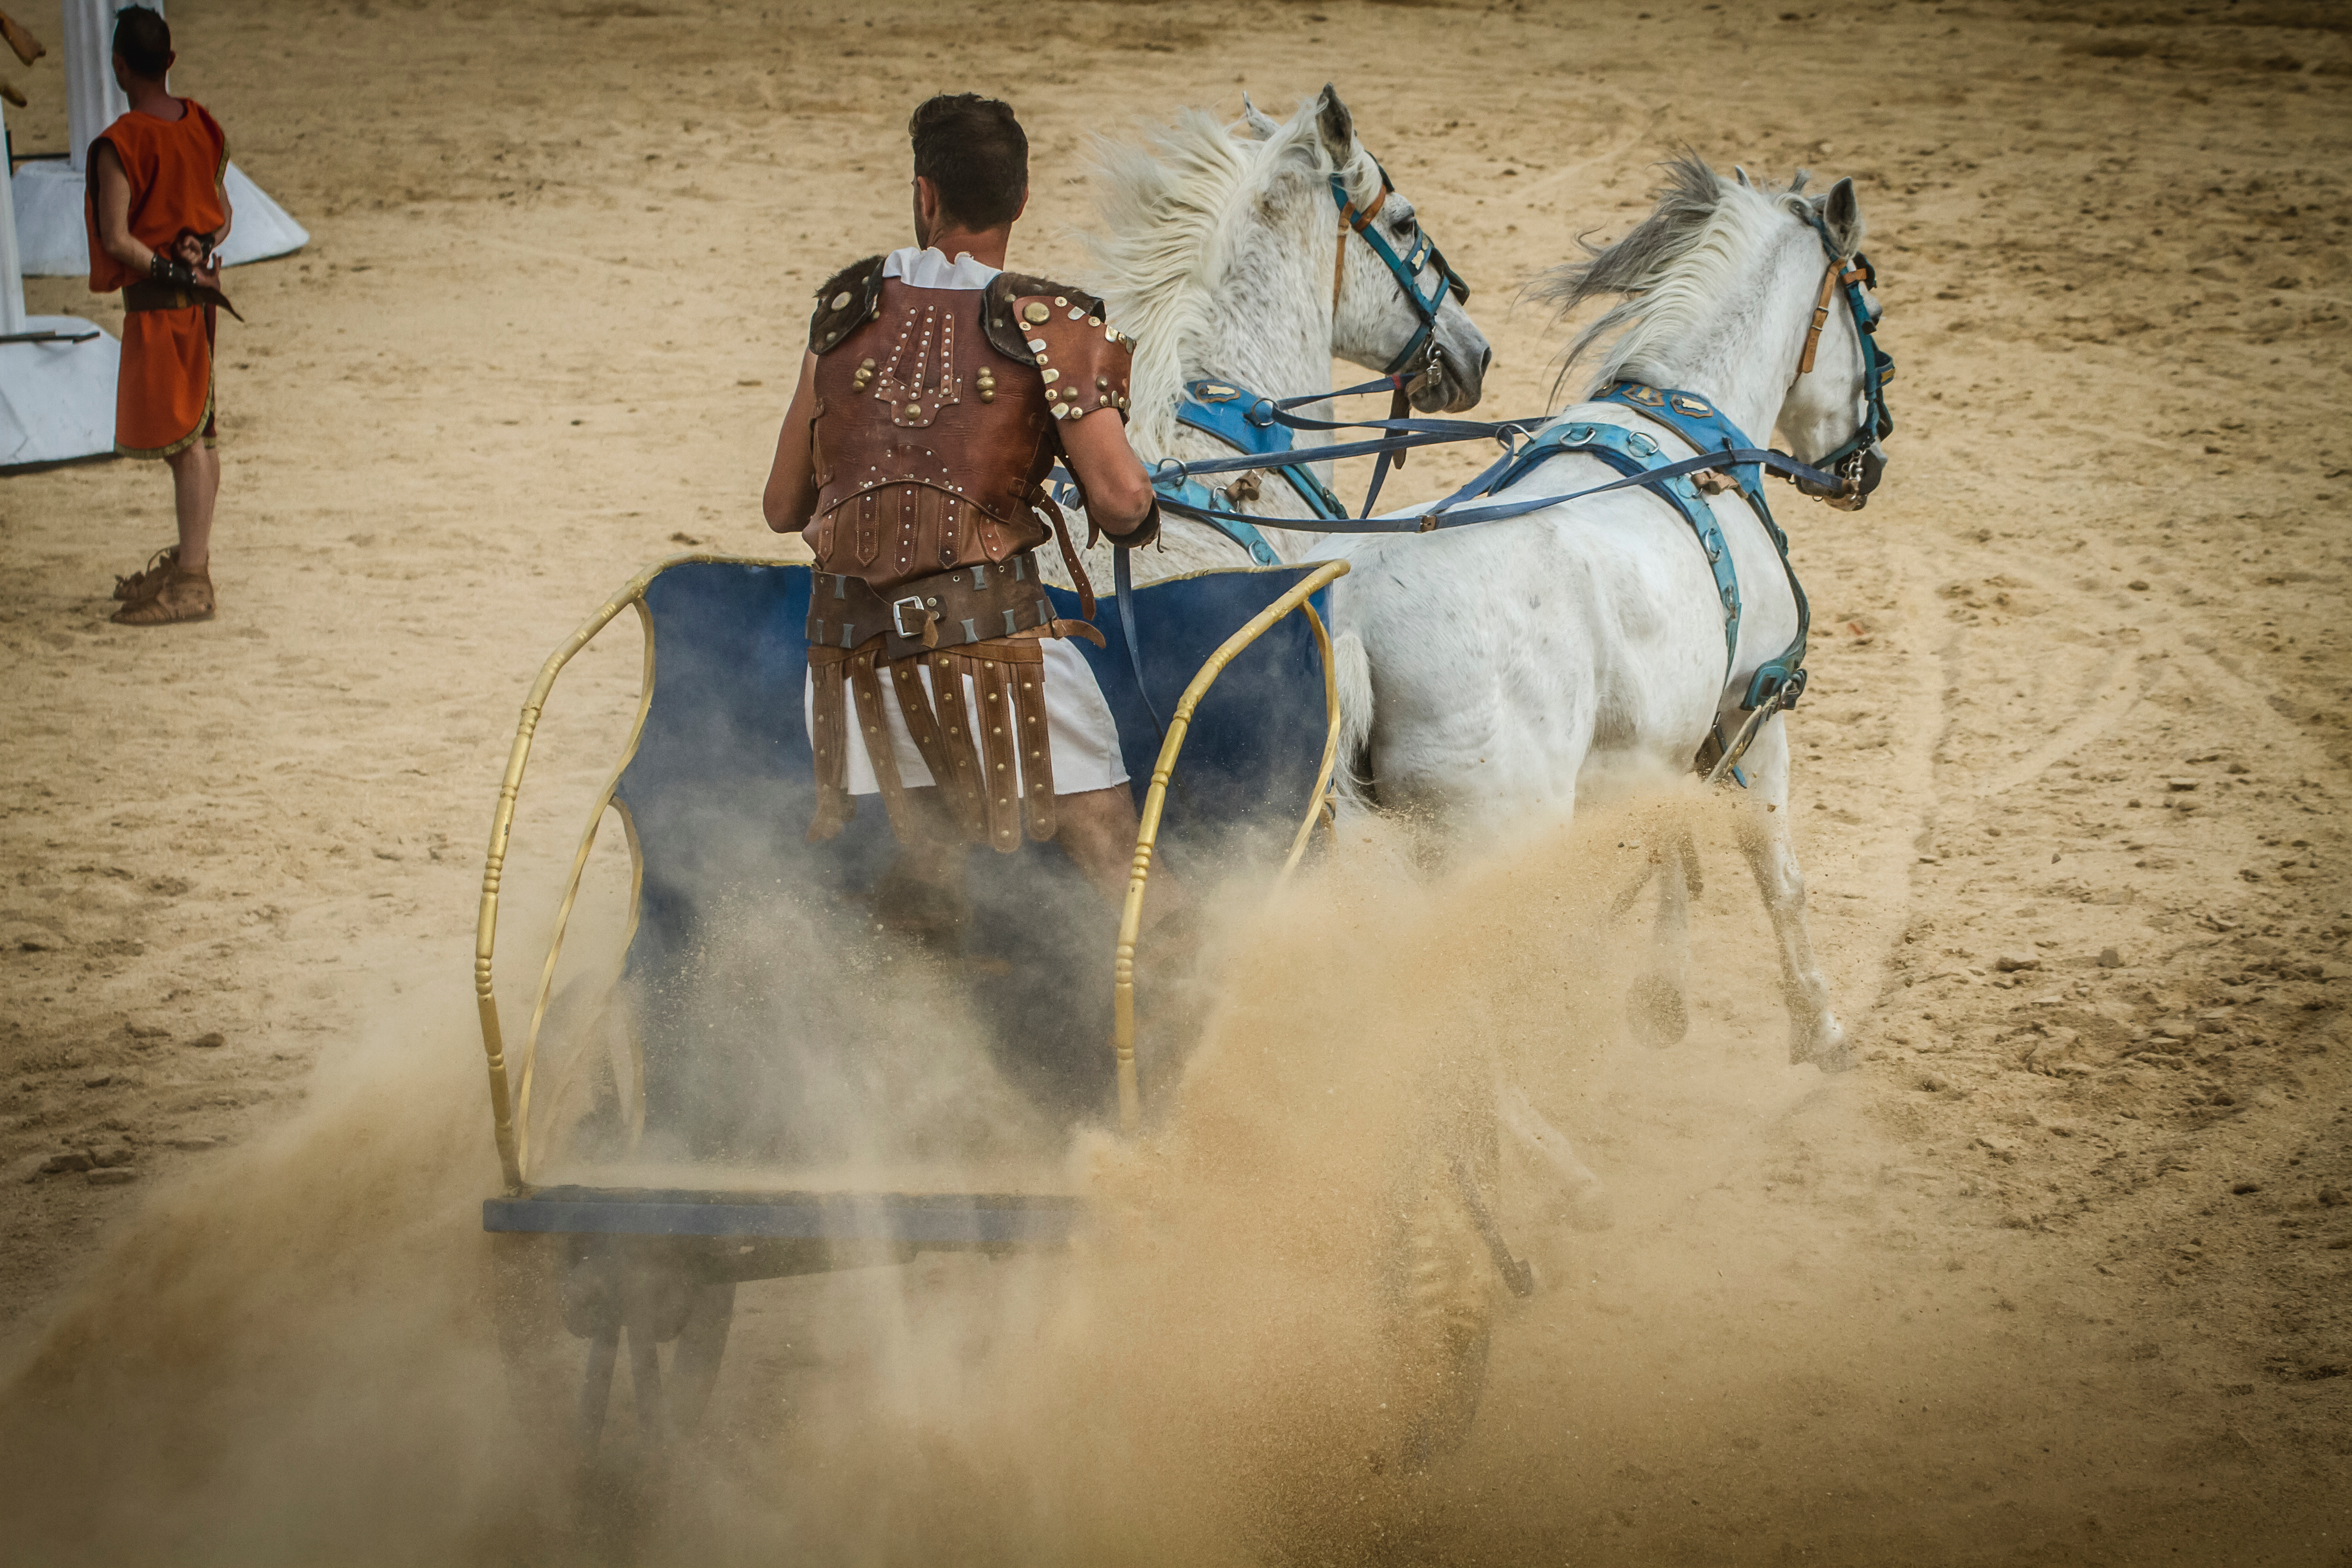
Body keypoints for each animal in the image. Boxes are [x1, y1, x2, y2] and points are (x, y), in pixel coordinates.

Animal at [1326, 152, 1891, 1072]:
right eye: (1866, 307)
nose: (1868, 464)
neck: (1692, 435)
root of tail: (1354, 618)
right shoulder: (1753, 710)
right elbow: (1776, 871)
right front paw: (1819, 1025)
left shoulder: (1658, 742)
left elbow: (1668, 845)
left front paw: (1660, 998)